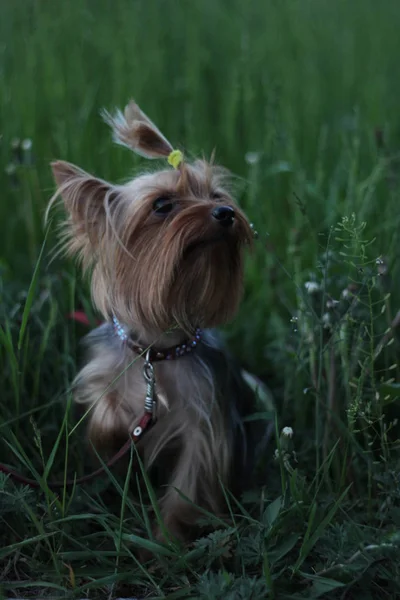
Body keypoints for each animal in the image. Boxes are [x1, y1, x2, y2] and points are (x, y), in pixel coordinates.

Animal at [49, 102, 266, 544]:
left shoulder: (206, 421)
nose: (226, 213)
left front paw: (164, 545)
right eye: (163, 205)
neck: (158, 351)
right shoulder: (102, 375)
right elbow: (105, 408)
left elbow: (189, 486)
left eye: (216, 196)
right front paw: (119, 425)